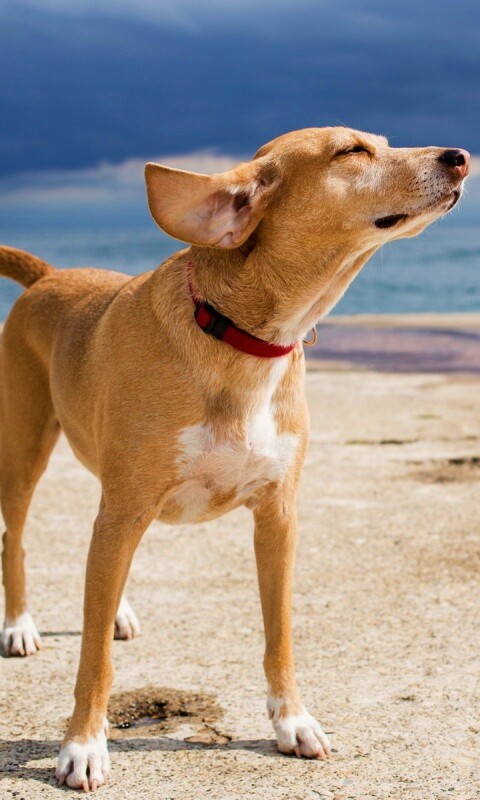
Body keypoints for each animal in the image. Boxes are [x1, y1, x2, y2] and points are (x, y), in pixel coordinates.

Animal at [0, 127, 469, 790]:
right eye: (352, 152)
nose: (460, 157)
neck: (242, 339)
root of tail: (48, 275)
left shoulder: (277, 518)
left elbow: (280, 635)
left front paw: (292, 722)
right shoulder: (125, 508)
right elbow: (94, 660)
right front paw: (83, 745)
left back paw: (116, 609)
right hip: (24, 453)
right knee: (15, 537)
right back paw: (19, 625)